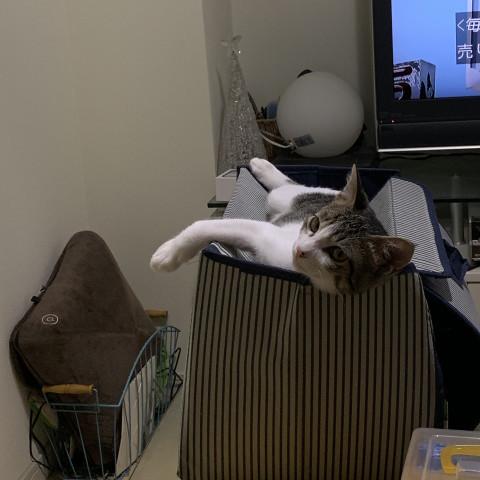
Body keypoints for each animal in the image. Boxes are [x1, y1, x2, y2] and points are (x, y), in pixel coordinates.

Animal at [150, 158, 414, 294]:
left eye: (338, 253)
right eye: (315, 224)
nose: (300, 249)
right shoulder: (264, 231)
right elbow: (201, 225)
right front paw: (168, 254)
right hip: (288, 197)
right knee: (288, 184)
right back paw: (261, 164)